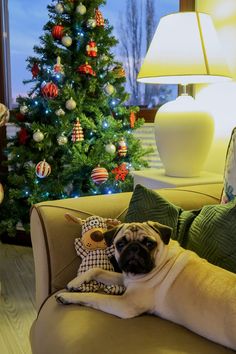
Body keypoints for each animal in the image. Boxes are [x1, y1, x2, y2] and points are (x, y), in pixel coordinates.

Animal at [56, 223, 236, 350]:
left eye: (149, 244)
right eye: (120, 244)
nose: (134, 247)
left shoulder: (125, 304)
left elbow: (93, 296)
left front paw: (67, 296)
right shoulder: (126, 278)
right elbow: (96, 269)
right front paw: (75, 283)